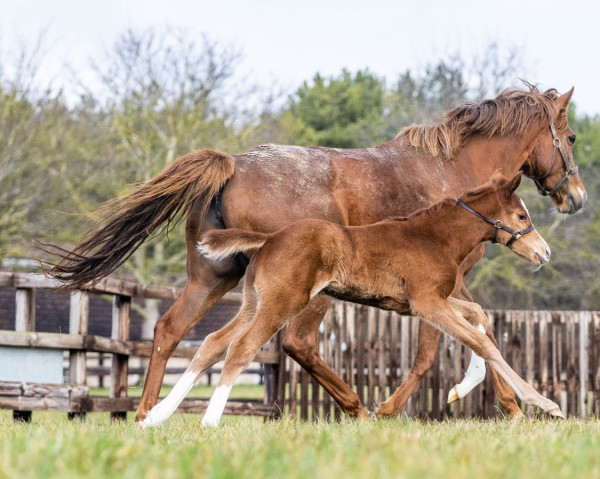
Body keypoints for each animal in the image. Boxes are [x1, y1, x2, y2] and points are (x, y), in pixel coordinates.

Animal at [141, 172, 564, 428]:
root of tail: (270, 238)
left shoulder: (424, 303)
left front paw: (461, 387)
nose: (544, 253)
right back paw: (209, 420)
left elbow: (479, 319)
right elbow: (479, 338)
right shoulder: (427, 302)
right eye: (522, 216)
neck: (434, 237)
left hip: (253, 303)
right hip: (282, 303)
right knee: (241, 349)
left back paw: (156, 416)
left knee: (212, 343)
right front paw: (545, 404)